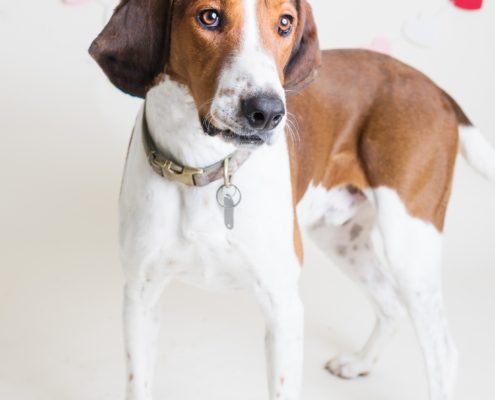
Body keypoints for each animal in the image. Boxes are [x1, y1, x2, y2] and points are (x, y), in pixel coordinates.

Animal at [89, 0, 495, 400]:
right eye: (209, 16)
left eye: (285, 23)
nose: (267, 111)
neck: (205, 167)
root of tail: (436, 88)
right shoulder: (140, 298)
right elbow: (138, 383)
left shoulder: (283, 306)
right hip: (341, 238)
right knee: (391, 305)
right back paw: (361, 362)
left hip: (408, 243)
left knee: (443, 352)